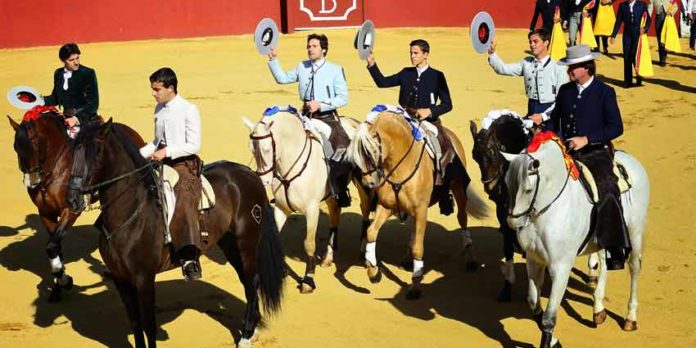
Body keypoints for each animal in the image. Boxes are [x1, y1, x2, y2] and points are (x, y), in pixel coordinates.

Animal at [7, 111, 145, 302]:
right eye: (15, 147)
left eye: (33, 145)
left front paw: (66, 281)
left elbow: (52, 246)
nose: (31, 182)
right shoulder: (46, 213)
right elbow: (55, 247)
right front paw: (58, 287)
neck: (55, 168)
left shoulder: (71, 209)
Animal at [74, 120, 286, 348]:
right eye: (73, 150)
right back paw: (252, 327)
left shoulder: (144, 278)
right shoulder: (120, 279)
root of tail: (249, 173)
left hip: (246, 242)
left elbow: (148, 325)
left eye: (96, 151)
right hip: (230, 244)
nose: (74, 198)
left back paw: (245, 336)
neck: (130, 211)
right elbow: (135, 323)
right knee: (247, 281)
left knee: (252, 281)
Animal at [242, 109, 372, 294]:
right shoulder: (281, 208)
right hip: (331, 194)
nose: (263, 180)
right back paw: (328, 257)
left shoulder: (312, 209)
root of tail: (355, 123)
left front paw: (308, 280)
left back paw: (362, 253)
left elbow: (309, 244)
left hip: (363, 184)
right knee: (335, 213)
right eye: (251, 149)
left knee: (365, 210)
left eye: (267, 149)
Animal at [348, 111, 490, 300]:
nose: (368, 184)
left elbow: (418, 248)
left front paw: (415, 286)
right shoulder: (386, 206)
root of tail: (451, 135)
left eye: (371, 152)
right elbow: (371, 232)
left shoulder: (421, 210)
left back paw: (471, 258)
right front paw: (373, 272)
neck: (400, 165)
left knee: (462, 219)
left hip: (458, 189)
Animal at [502, 132, 648, 346]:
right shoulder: (534, 260)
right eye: (506, 183)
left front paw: (550, 341)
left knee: (635, 267)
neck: (547, 209)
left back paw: (630, 318)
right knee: (604, 262)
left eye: (528, 189)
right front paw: (553, 340)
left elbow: (549, 317)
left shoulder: (560, 266)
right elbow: (534, 303)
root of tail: (632, 160)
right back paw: (598, 309)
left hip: (635, 232)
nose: (513, 222)